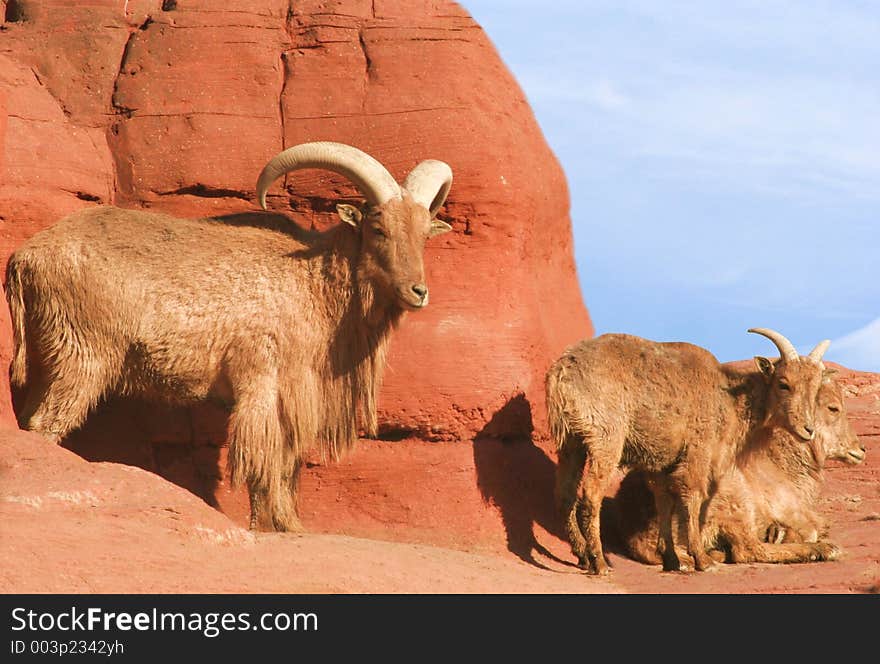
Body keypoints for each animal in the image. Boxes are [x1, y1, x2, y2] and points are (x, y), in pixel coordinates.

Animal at [6, 143, 458, 532]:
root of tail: (24, 258)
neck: (311, 283)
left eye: (424, 233)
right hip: (82, 356)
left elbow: (287, 462)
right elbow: (265, 461)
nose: (418, 291)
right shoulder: (263, 384)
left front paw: (290, 523)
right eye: (378, 228)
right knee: (45, 425)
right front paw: (270, 525)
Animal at [552, 330, 832, 572]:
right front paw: (701, 559)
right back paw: (599, 562)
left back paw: (582, 555)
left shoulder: (662, 464)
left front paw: (672, 559)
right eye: (784, 384)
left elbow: (665, 503)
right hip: (605, 441)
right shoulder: (698, 451)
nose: (807, 429)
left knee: (566, 495)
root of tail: (562, 372)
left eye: (816, 389)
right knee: (590, 495)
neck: (727, 396)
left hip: (570, 444)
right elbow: (693, 498)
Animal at [612, 374, 868, 564]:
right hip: (733, 506)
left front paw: (777, 532)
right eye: (833, 407)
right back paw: (823, 549)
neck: (781, 462)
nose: (860, 449)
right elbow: (809, 530)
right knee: (748, 550)